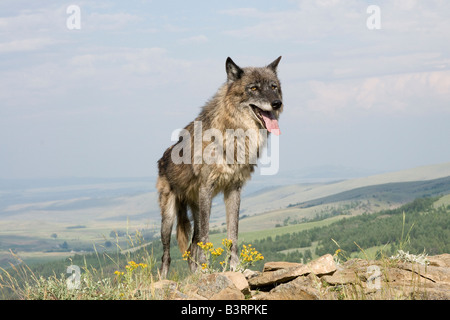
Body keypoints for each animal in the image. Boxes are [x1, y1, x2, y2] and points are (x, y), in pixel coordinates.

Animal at [157, 57, 284, 278]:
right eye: (253, 88)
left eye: (273, 87)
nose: (277, 103)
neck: (235, 132)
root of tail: (162, 159)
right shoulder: (207, 189)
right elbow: (207, 239)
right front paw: (208, 270)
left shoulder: (234, 189)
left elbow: (233, 235)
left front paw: (236, 269)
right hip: (169, 217)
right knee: (167, 254)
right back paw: (164, 279)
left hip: (196, 210)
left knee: (192, 247)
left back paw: (195, 274)